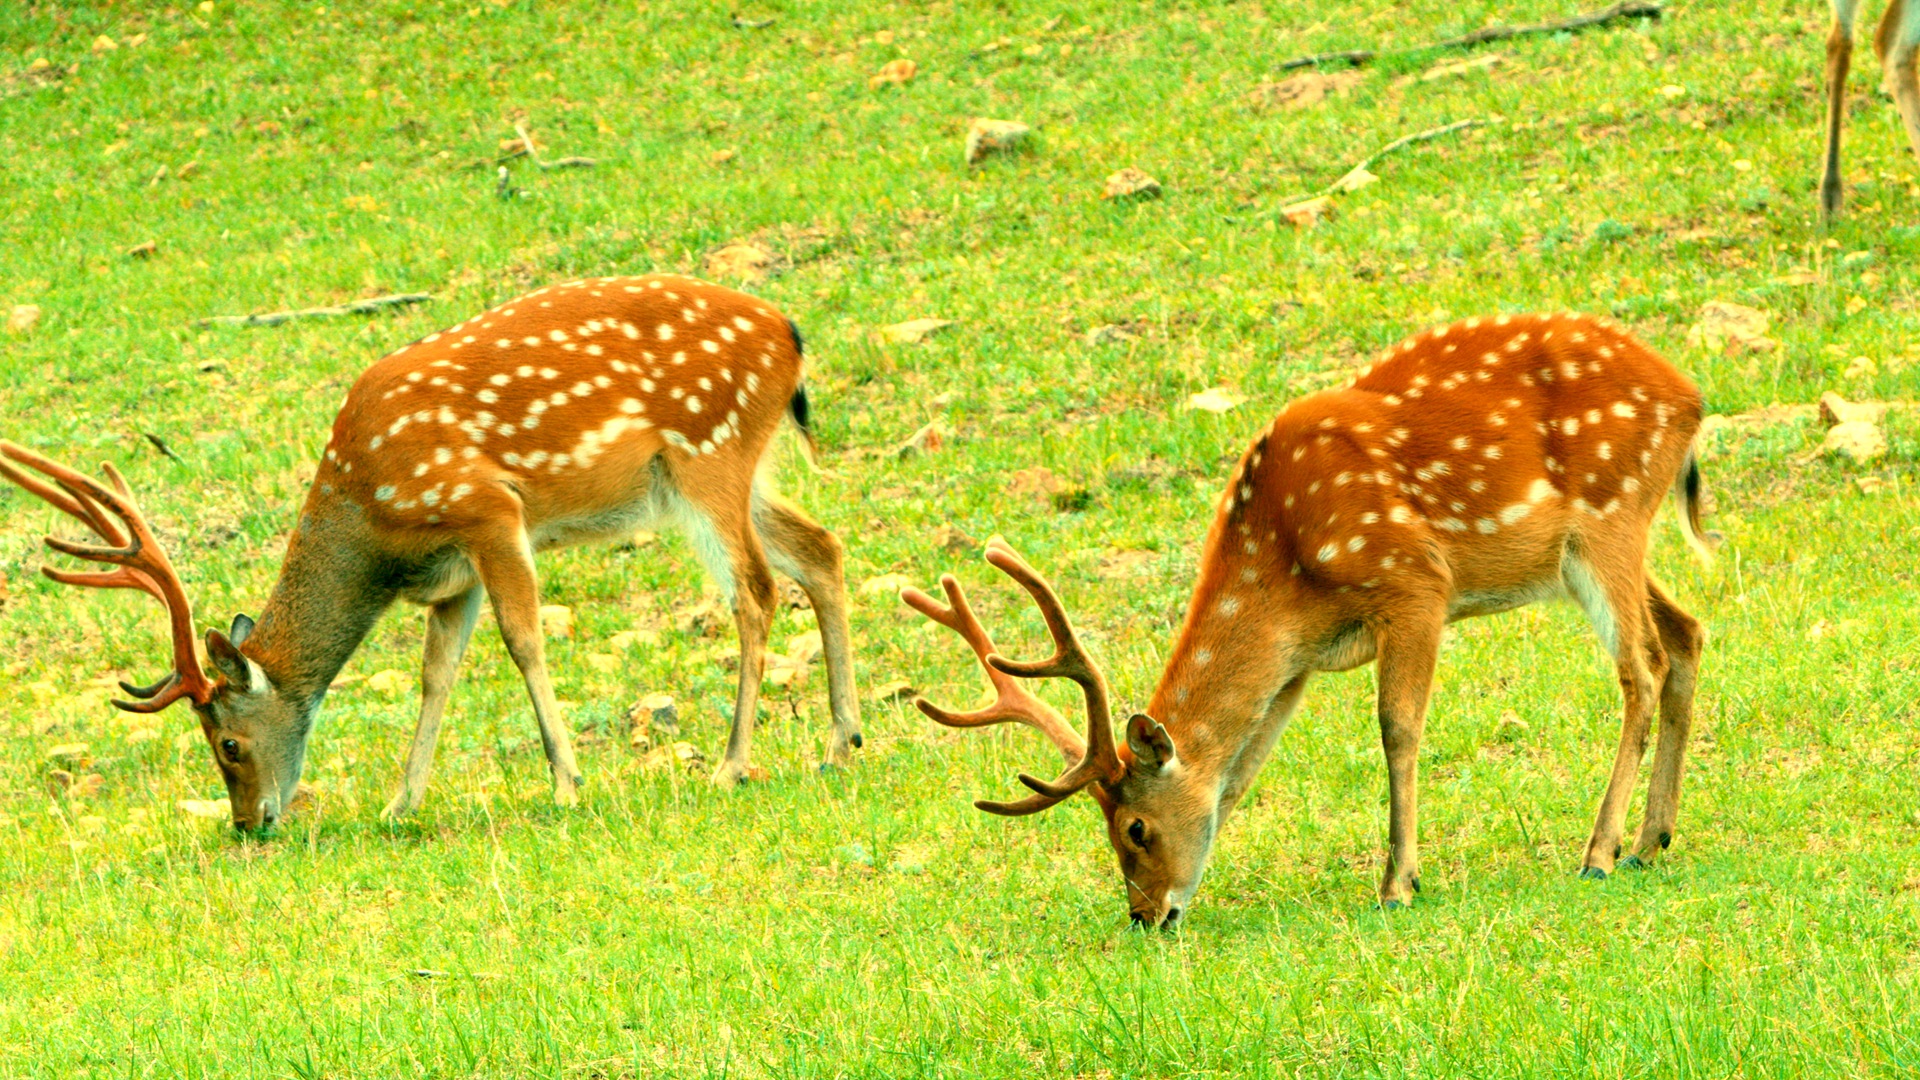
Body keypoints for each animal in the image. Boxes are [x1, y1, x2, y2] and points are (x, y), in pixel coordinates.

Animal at [0, 274, 863, 830]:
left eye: (228, 744)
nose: (251, 822)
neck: (374, 520)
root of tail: (791, 336)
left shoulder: (488, 510)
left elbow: (523, 640)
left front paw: (566, 782)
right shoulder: (453, 572)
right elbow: (436, 673)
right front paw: (400, 803)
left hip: (707, 451)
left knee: (755, 590)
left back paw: (732, 762)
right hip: (730, 468)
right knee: (822, 546)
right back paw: (841, 741)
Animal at [904, 312, 1710, 928]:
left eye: (1134, 826)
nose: (1146, 915)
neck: (1285, 564)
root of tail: (1691, 398)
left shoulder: (1416, 584)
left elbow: (1398, 729)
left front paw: (1398, 884)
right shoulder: (1298, 664)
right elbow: (1241, 772)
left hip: (1608, 514)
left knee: (1642, 666)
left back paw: (1600, 852)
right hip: (1590, 550)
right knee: (1687, 632)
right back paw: (1653, 839)